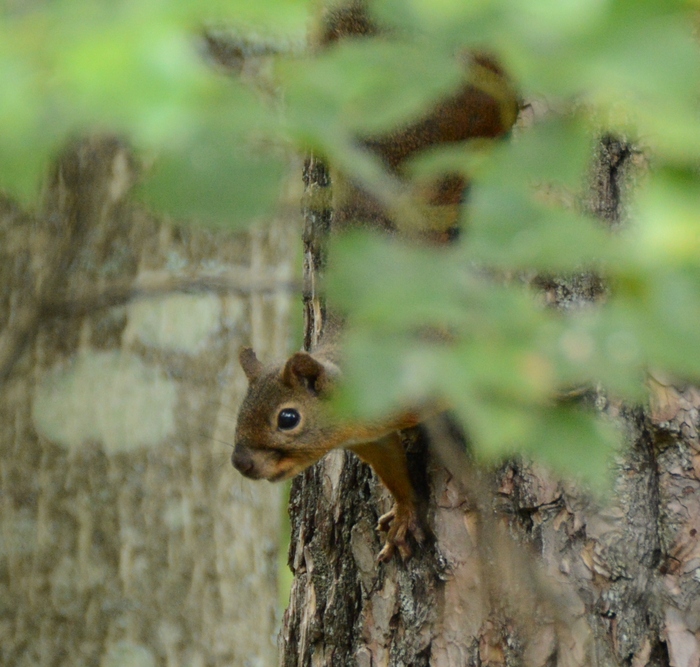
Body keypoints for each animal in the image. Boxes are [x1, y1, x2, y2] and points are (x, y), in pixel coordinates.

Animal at [232, 1, 516, 564]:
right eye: (240, 412)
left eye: (288, 419)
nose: (241, 464)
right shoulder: (369, 438)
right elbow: (393, 470)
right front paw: (405, 514)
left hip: (462, 112)